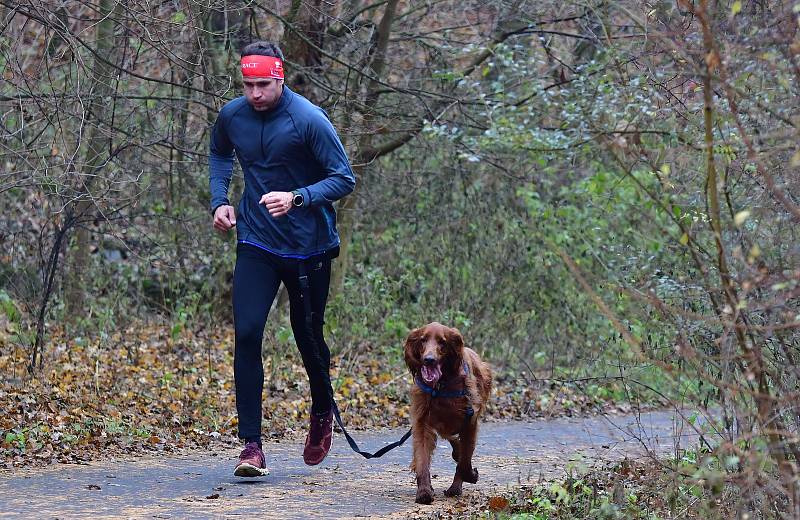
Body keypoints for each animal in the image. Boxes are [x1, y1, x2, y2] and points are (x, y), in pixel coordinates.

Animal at [404, 320, 490, 504]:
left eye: (442, 342)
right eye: (423, 340)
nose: (429, 360)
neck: (440, 387)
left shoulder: (470, 421)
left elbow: (465, 461)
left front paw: (469, 476)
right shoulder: (422, 421)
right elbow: (422, 457)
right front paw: (424, 491)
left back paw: (455, 487)